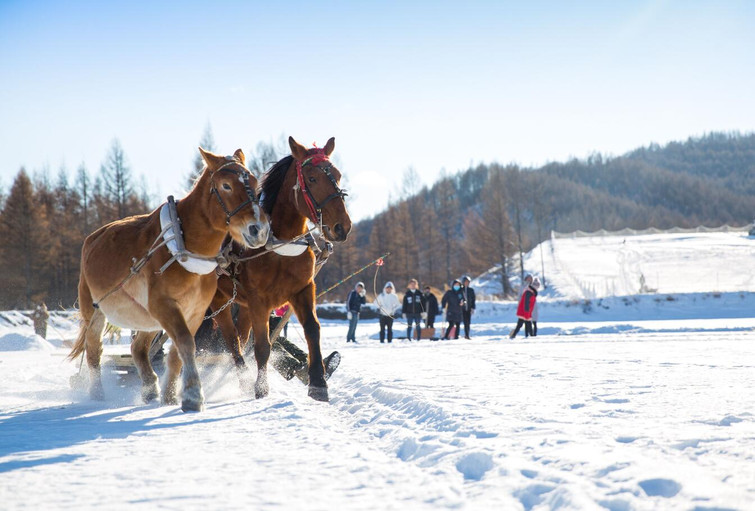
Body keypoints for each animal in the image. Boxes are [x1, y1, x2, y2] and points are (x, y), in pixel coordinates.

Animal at [67, 148, 268, 412]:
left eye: (255, 183)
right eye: (226, 185)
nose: (259, 229)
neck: (183, 247)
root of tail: (93, 238)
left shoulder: (195, 311)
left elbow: (177, 353)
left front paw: (171, 396)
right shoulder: (165, 305)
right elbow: (185, 343)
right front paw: (193, 395)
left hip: (146, 317)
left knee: (138, 347)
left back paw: (150, 388)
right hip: (95, 309)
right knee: (94, 349)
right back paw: (97, 394)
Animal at [211, 138, 352, 402]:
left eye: (337, 175)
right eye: (312, 178)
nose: (342, 227)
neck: (280, 247)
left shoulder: (303, 289)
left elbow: (312, 330)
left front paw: (318, 381)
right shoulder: (259, 300)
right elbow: (262, 345)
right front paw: (261, 387)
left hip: (243, 306)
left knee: (241, 336)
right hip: (219, 301)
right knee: (233, 341)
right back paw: (243, 378)